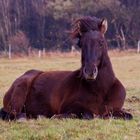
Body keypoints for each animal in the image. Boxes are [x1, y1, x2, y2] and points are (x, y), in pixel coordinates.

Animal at [0, 16, 132, 120]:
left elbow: (128, 116)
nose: (89, 72)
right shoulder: (71, 107)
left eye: (101, 42)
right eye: (81, 44)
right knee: (14, 114)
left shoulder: (115, 110)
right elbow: (88, 115)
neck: (101, 90)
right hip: (20, 92)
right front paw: (57, 116)